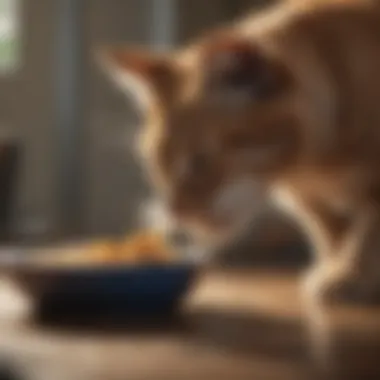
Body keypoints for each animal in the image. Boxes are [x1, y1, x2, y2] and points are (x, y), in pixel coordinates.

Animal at [98, 0, 380, 304]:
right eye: (154, 166)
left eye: (199, 162)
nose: (176, 214)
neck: (312, 165)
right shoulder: (307, 199)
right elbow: (329, 231)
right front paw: (338, 267)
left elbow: (366, 234)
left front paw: (349, 275)